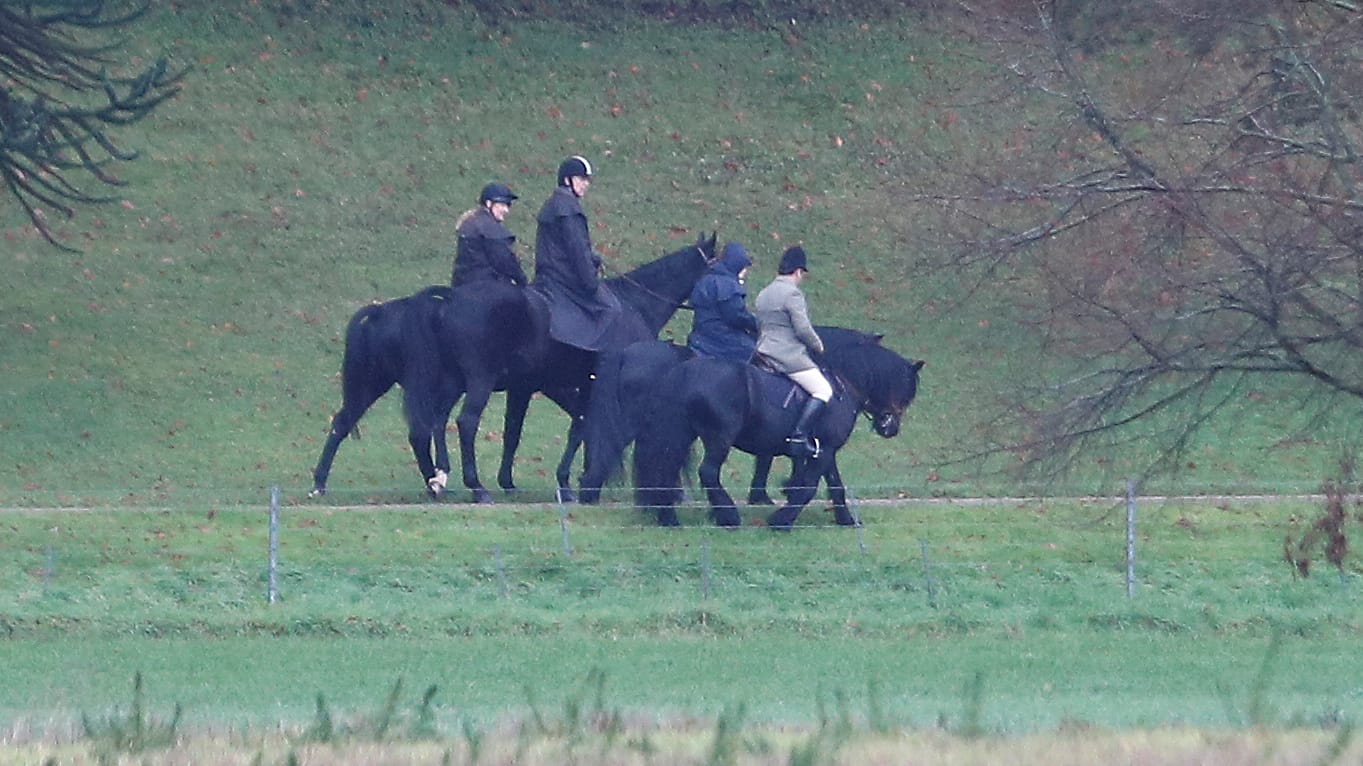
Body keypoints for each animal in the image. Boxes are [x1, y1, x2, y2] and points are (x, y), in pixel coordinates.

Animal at [306, 228, 714, 498]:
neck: (633, 304)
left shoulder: (533, 388)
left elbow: (523, 432)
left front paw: (521, 479)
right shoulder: (586, 386)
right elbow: (585, 427)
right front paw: (576, 479)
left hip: (389, 383)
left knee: (366, 422)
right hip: (475, 380)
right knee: (462, 423)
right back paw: (473, 485)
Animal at [580, 324, 921, 528]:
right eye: (906, 389)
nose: (890, 427)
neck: (838, 381)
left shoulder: (824, 449)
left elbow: (833, 484)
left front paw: (846, 519)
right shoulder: (823, 448)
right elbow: (808, 485)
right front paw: (781, 517)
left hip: (676, 433)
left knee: (662, 468)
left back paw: (668, 515)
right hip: (714, 437)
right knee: (705, 472)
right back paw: (726, 515)